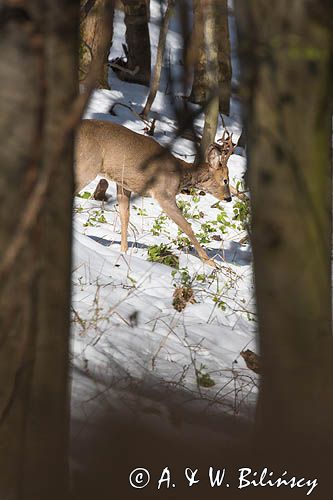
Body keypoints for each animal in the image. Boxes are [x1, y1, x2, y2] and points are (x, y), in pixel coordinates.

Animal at [76, 119, 236, 266]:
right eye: (225, 180)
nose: (228, 198)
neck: (180, 174)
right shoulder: (163, 194)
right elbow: (186, 226)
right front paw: (210, 262)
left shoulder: (123, 184)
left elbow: (124, 216)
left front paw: (124, 251)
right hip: (88, 165)